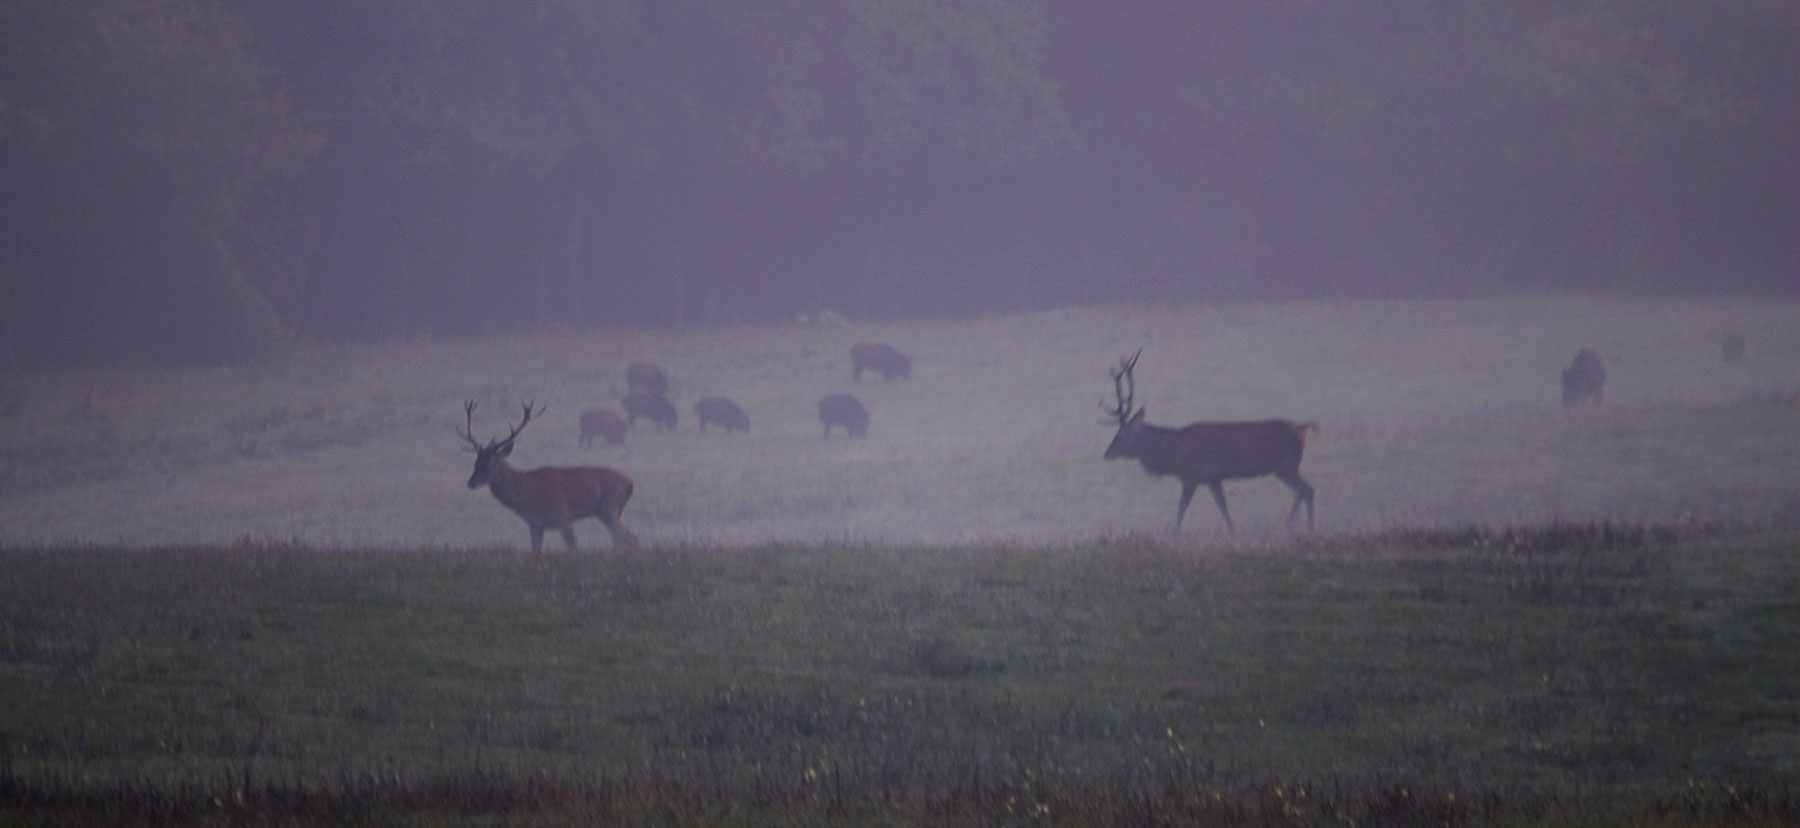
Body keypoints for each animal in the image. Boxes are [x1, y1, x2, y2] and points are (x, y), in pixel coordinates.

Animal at [457, 401, 640, 550]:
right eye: (475, 463)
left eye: (491, 464)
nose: (471, 482)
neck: (528, 496)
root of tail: (630, 484)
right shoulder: (535, 525)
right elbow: (536, 551)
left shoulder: (563, 517)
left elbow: (573, 547)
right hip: (612, 512)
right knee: (630, 538)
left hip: (609, 508)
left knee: (622, 538)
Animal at [1101, 351, 1317, 532]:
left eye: (1120, 436)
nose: (1106, 454)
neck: (1174, 453)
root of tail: (1302, 428)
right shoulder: (1213, 478)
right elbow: (1223, 508)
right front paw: (1232, 530)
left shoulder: (1192, 475)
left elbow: (1181, 509)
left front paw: (1175, 534)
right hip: (1286, 466)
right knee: (1302, 491)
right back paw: (1290, 524)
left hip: (1285, 464)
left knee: (1308, 490)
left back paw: (1307, 527)